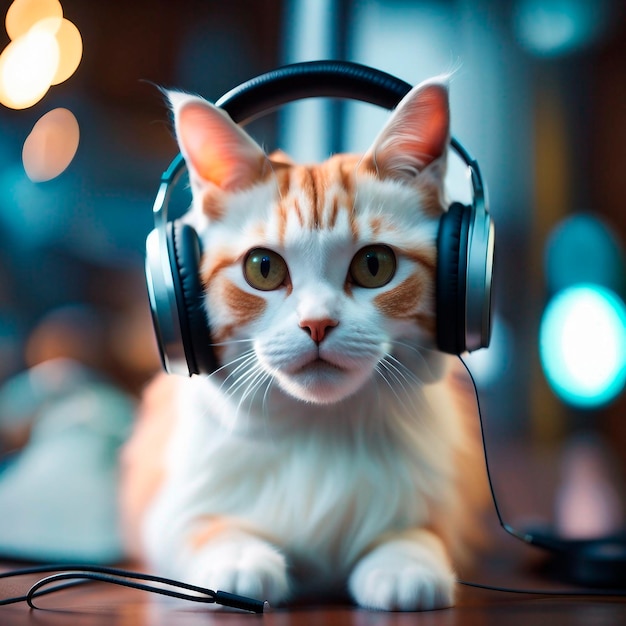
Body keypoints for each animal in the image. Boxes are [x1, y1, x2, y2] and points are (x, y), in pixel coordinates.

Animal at [118, 77, 488, 608]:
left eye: (374, 265)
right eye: (263, 268)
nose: (316, 324)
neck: (321, 430)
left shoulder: (444, 499)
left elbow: (419, 531)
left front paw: (403, 564)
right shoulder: (164, 511)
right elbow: (204, 527)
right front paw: (239, 561)